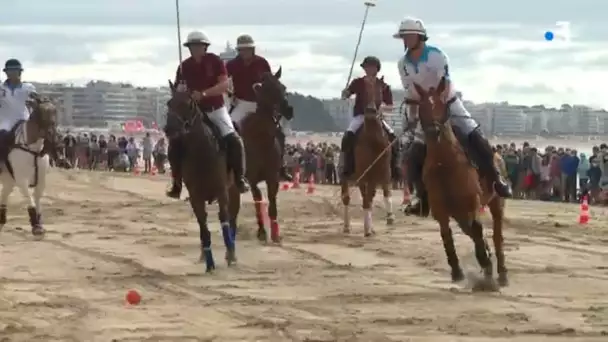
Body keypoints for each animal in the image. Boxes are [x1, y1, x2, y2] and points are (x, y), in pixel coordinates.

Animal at [0, 97, 57, 239]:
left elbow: (37, 198)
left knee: (4, 194)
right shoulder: (21, 180)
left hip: (8, 179)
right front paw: (36, 227)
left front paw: (39, 224)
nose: (52, 135)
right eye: (40, 113)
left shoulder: (41, 179)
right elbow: (30, 199)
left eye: (55, 111)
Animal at [234, 67, 290, 243]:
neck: (261, 139)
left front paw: (275, 233)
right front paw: (261, 232)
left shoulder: (273, 177)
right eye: (267, 88)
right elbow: (258, 201)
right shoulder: (252, 180)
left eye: (283, 87)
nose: (288, 110)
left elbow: (272, 203)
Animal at [414, 77, 508, 288]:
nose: (434, 131)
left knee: (496, 235)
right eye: (421, 107)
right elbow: (446, 234)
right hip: (459, 212)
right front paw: (457, 271)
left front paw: (486, 264)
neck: (445, 164)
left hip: (495, 202)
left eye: (440, 104)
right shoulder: (441, 209)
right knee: (471, 231)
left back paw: (502, 272)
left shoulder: (471, 203)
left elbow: (478, 229)